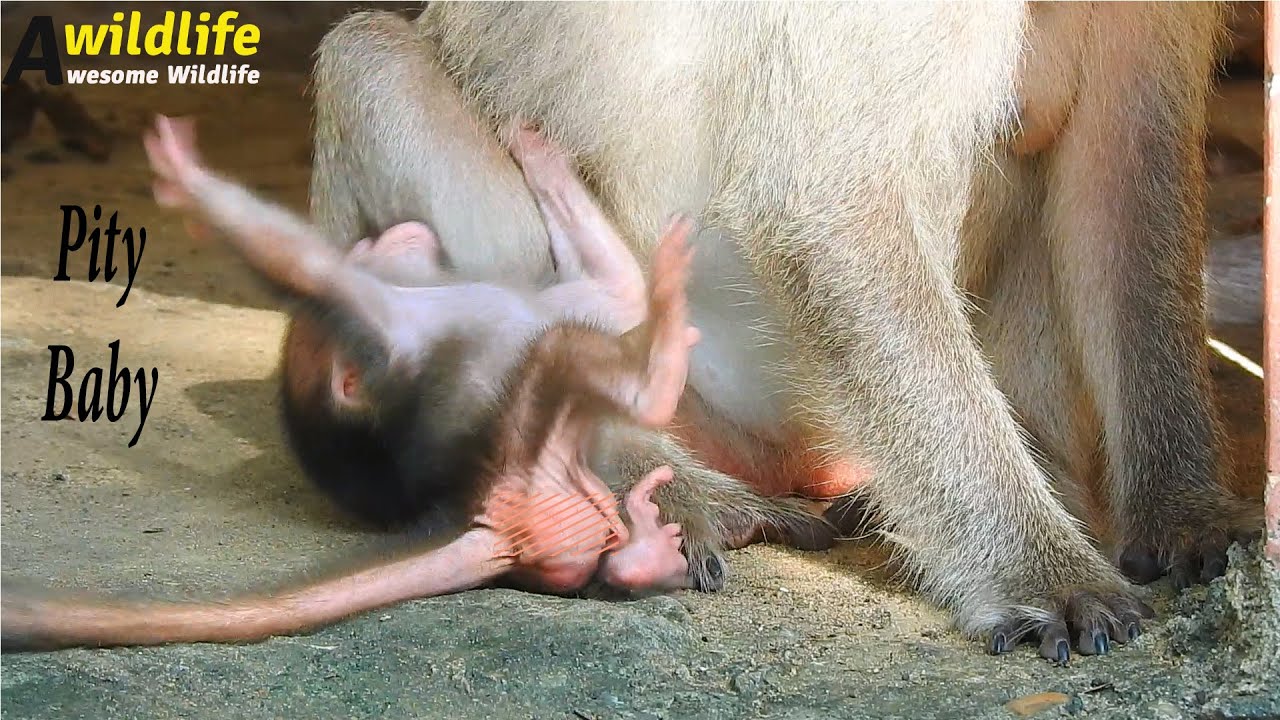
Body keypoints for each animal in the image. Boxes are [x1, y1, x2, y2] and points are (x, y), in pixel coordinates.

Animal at [288, 6, 1261, 665]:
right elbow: (827, 208)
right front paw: (1044, 574)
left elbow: (1127, 170)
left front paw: (1185, 515)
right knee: (373, 58)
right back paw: (642, 482)